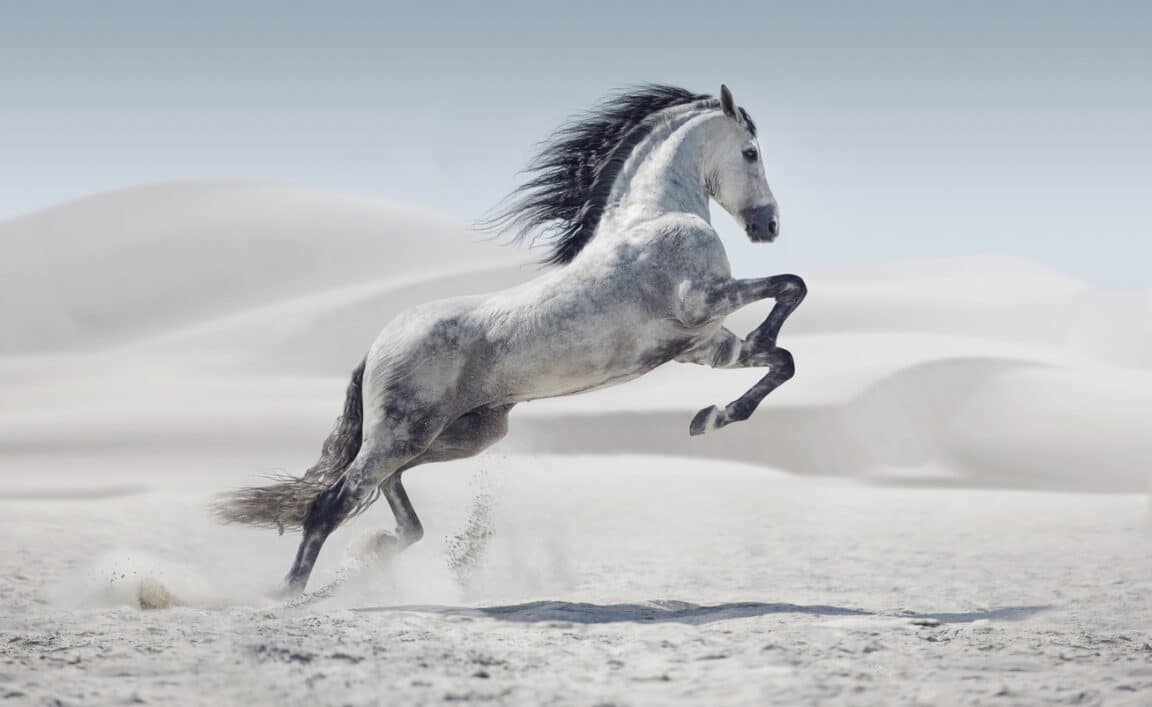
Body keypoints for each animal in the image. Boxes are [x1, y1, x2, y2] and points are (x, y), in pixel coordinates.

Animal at [214, 84, 807, 595]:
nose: (769, 226)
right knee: (332, 502)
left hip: (459, 436)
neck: (654, 217)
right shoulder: (700, 301)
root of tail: (378, 345)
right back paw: (290, 594)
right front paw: (726, 393)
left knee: (387, 492)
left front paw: (710, 418)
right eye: (751, 152)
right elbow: (791, 287)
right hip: (404, 433)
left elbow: (782, 360)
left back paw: (374, 553)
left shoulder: (704, 346)